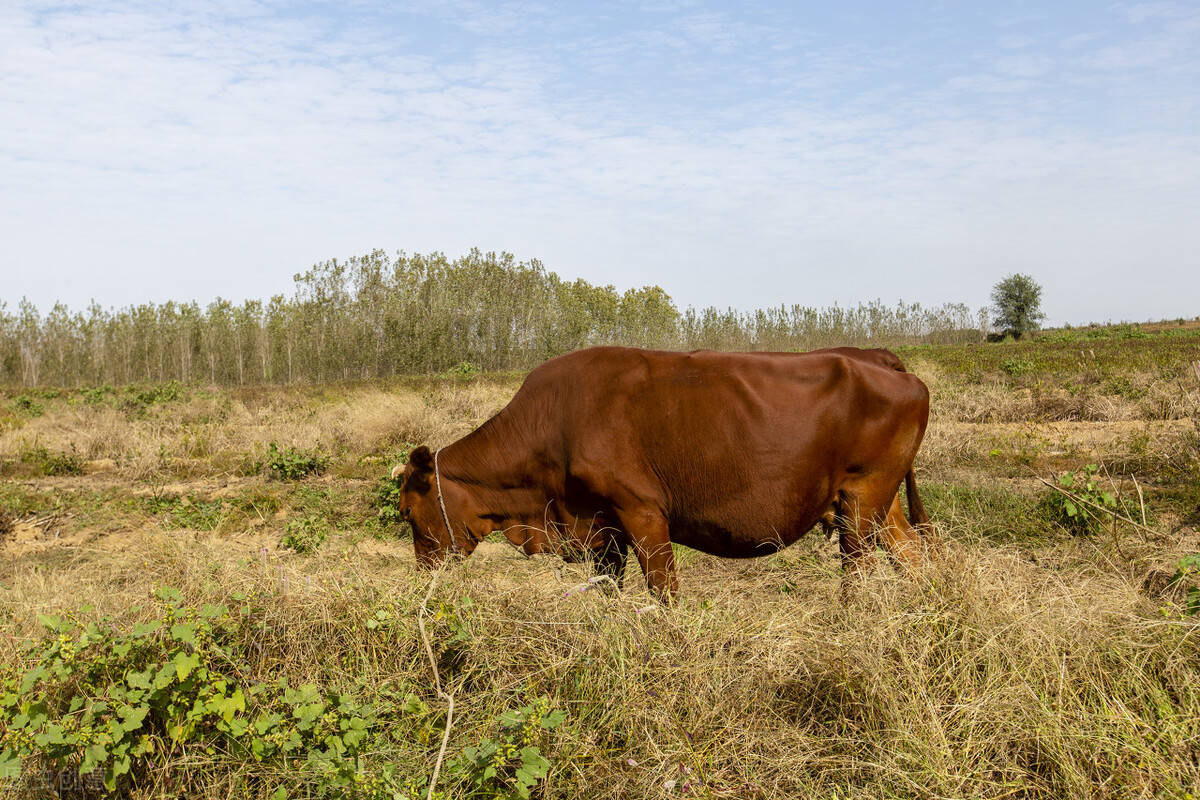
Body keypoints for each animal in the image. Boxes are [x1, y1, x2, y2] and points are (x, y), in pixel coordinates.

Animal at [388, 345, 931, 599]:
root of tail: (876, 358)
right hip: (877, 504)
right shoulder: (602, 530)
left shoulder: (643, 512)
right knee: (915, 556)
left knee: (858, 575)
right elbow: (607, 593)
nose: (421, 578)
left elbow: (663, 593)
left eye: (407, 512)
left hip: (862, 500)